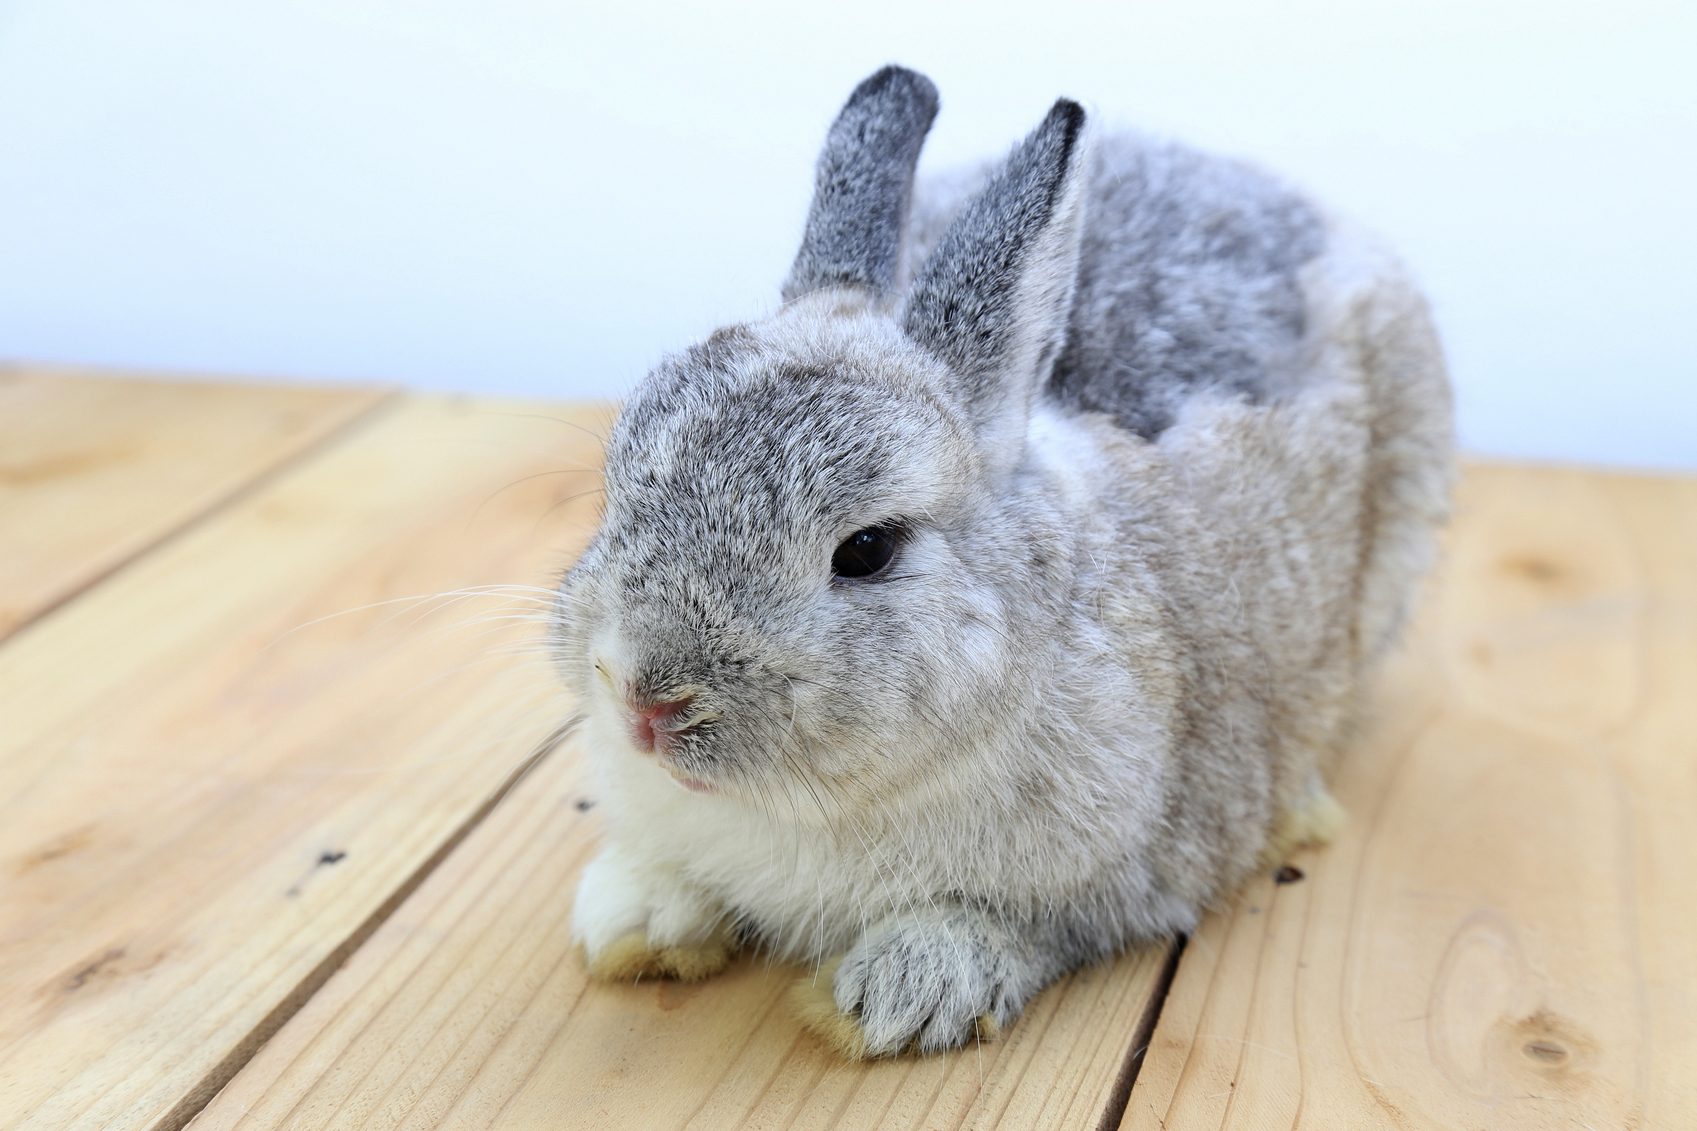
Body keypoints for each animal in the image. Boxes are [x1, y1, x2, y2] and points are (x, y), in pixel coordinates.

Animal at [549, 63, 1452, 1059]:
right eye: (619, 478)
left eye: (866, 549)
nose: (647, 705)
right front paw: (632, 916)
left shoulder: (1122, 874)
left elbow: (1021, 926)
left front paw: (898, 991)